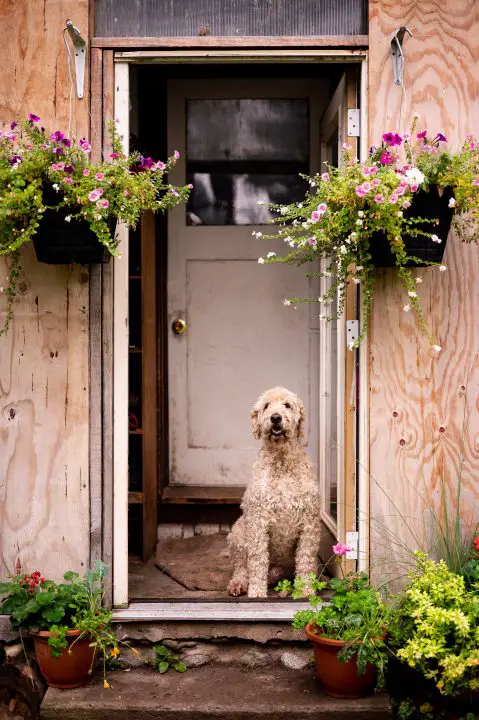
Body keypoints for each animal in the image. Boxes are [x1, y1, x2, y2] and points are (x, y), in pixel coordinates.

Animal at [227, 386, 320, 600]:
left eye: (287, 405)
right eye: (266, 406)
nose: (275, 417)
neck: (282, 460)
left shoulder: (309, 524)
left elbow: (305, 559)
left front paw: (306, 589)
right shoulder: (258, 521)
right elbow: (257, 559)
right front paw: (256, 592)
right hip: (238, 532)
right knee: (241, 567)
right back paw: (238, 584)